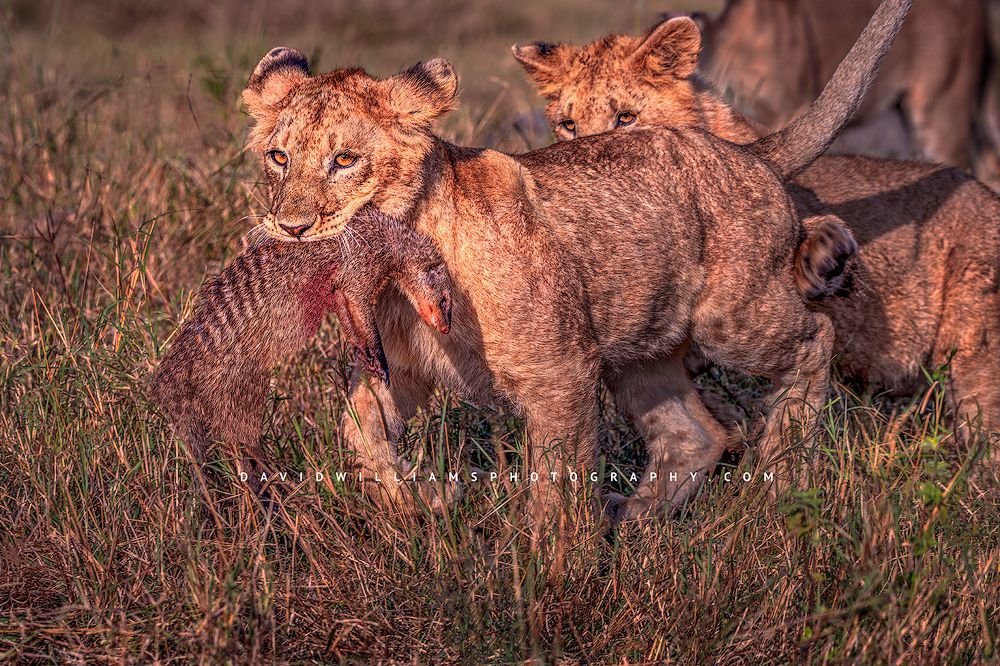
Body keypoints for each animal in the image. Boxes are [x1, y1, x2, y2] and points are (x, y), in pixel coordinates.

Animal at [237, 0, 909, 522]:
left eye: (345, 160)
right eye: (278, 157)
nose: (291, 227)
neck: (397, 271)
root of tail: (748, 152)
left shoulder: (559, 372)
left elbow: (556, 489)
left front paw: (555, 580)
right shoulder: (401, 367)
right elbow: (360, 433)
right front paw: (423, 502)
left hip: (732, 317)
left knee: (814, 339)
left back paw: (780, 469)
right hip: (639, 346)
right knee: (694, 434)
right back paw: (634, 522)